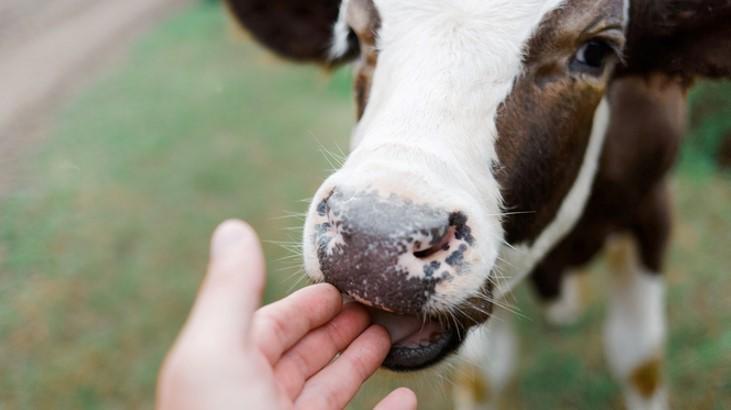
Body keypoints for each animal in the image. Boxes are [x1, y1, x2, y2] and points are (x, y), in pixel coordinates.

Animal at [226, 1, 728, 408]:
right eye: (353, 37)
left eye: (595, 52)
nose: (374, 242)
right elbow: (483, 375)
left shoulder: (651, 209)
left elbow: (639, 361)